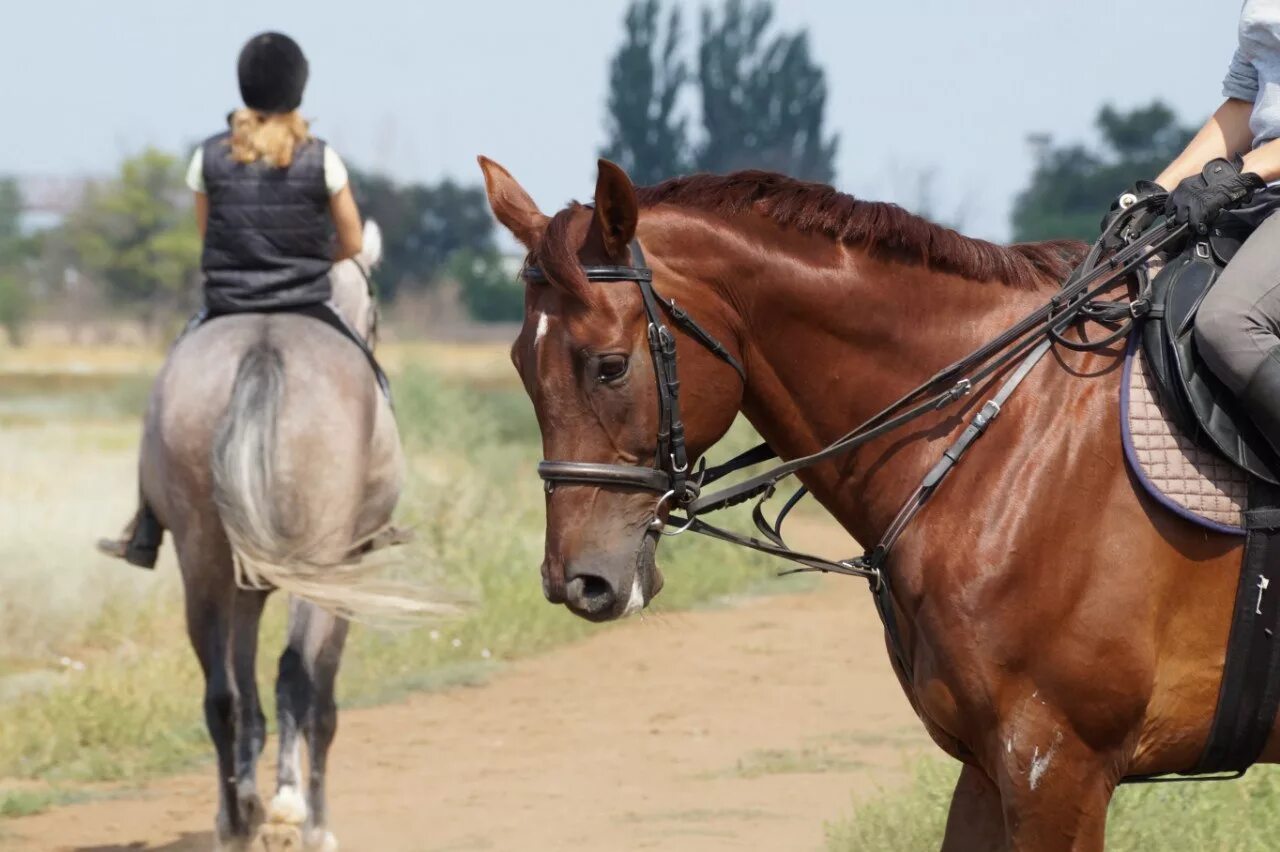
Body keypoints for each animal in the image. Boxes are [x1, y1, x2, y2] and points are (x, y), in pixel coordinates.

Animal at [133, 220, 435, 849]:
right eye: (375, 307)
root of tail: (263, 345)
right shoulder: (344, 573)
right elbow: (320, 695)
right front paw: (309, 815)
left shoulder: (246, 585)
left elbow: (247, 694)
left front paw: (252, 793)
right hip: (317, 561)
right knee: (297, 673)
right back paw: (295, 811)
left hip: (202, 556)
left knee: (221, 692)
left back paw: (236, 818)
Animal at [481, 156, 1269, 844]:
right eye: (520, 361)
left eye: (610, 366)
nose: (578, 582)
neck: (1008, 435)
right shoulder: (988, 767)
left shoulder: (1059, 767)